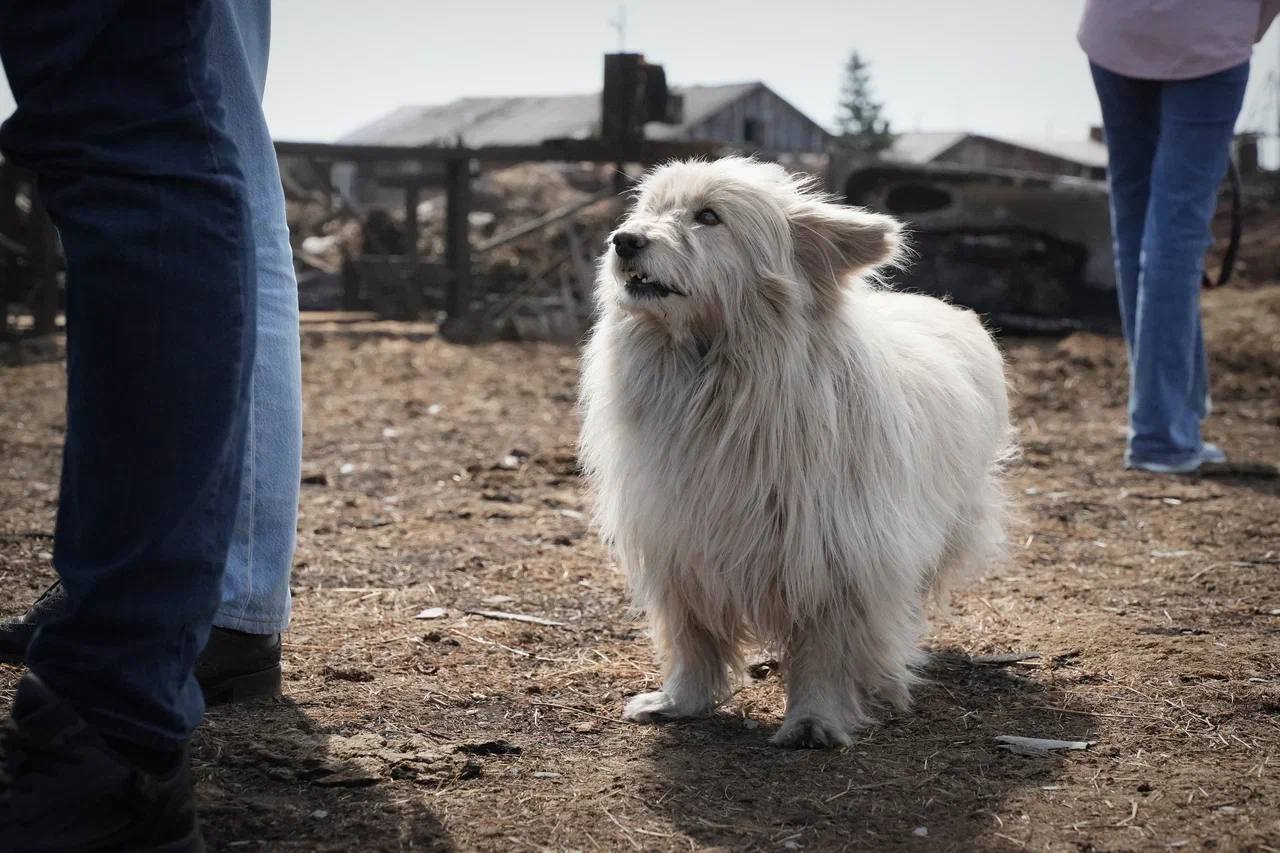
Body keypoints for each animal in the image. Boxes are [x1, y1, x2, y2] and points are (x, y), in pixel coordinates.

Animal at [578, 157, 1008, 742]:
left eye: (708, 217)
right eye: (649, 210)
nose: (623, 240)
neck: (714, 375)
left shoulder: (836, 553)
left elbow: (827, 650)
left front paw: (814, 721)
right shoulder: (679, 541)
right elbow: (692, 636)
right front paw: (680, 701)